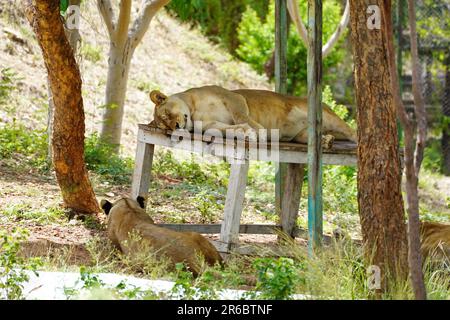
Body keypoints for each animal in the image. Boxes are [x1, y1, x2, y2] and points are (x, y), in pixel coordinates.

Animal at [149, 85, 356, 148]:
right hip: (301, 135)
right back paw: (326, 141)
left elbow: (243, 117)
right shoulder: (211, 125)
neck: (192, 111)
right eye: (165, 125)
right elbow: (228, 129)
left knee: (353, 132)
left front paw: (259, 133)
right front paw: (245, 134)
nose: (176, 127)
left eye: (166, 114)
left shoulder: (234, 98)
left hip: (331, 118)